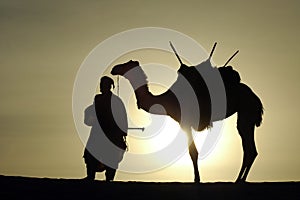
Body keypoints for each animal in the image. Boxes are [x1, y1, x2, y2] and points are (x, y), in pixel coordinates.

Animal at [110, 42, 262, 183]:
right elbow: (193, 152)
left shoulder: (185, 123)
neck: (167, 100)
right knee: (250, 149)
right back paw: (240, 179)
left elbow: (192, 152)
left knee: (249, 148)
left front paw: (197, 179)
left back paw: (239, 179)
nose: (113, 68)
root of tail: (255, 97)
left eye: (127, 64)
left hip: (247, 112)